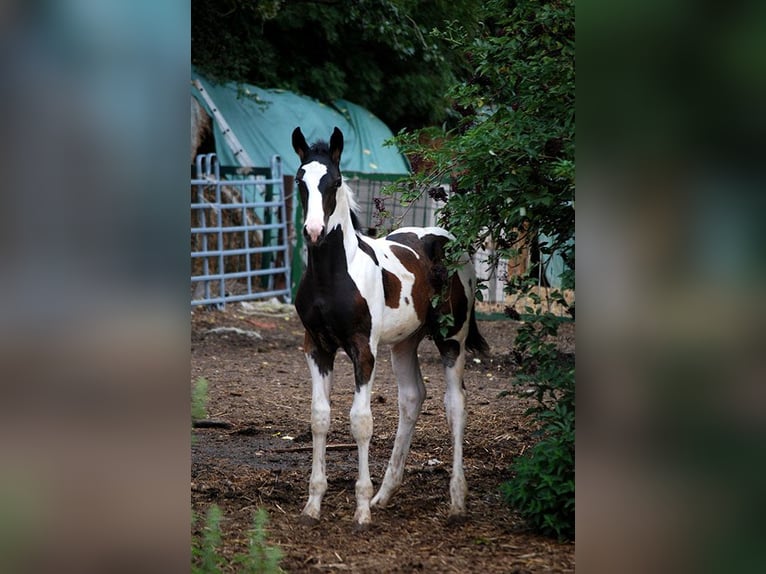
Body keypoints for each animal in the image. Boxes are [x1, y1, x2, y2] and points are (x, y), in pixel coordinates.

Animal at [291, 126, 488, 529]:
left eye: (335, 181)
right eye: (300, 180)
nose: (314, 231)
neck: (333, 277)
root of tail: (448, 239)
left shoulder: (363, 348)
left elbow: (361, 421)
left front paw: (361, 510)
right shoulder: (316, 346)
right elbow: (320, 418)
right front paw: (313, 504)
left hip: (452, 339)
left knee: (456, 404)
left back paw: (456, 500)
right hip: (404, 343)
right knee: (412, 397)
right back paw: (385, 493)